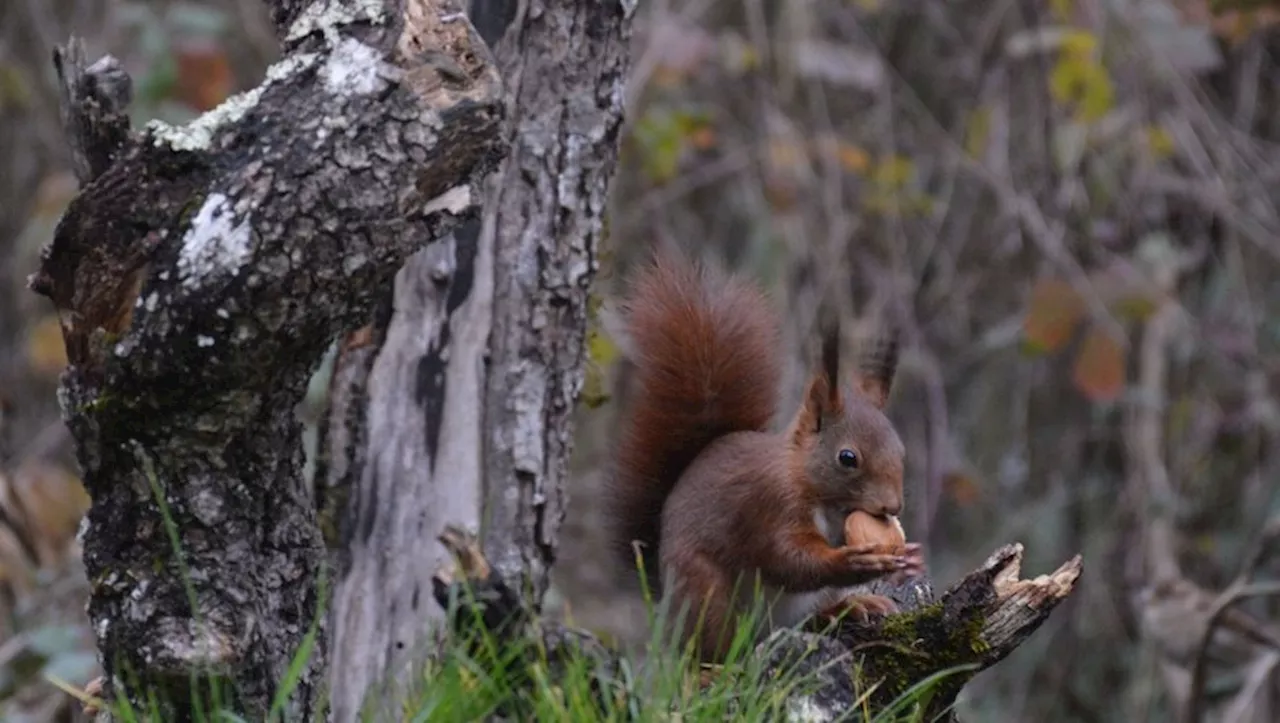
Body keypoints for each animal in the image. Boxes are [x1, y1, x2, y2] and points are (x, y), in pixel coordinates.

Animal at [606, 252, 921, 660]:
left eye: (900, 450)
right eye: (847, 458)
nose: (892, 507)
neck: (816, 490)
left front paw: (909, 560)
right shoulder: (768, 507)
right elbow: (788, 561)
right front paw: (853, 561)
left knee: (810, 616)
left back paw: (848, 606)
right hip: (706, 592)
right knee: (714, 648)